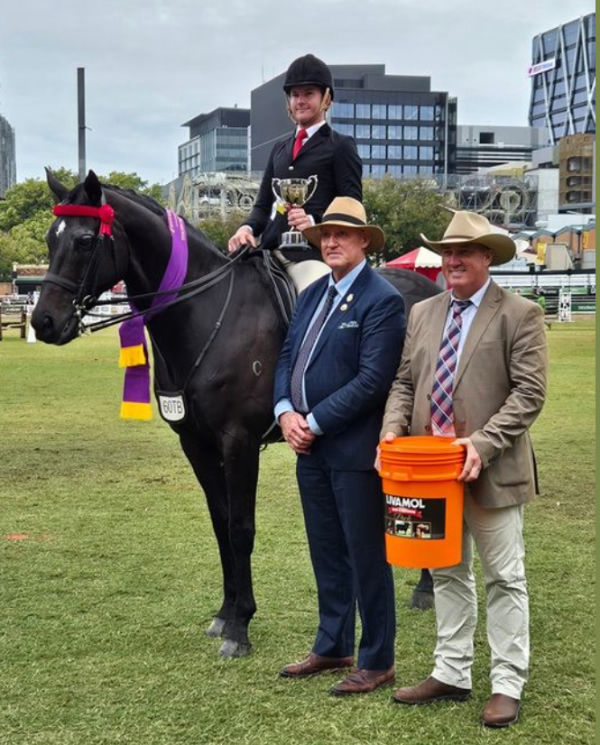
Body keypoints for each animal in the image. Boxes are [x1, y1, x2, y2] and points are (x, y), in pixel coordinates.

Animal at [34, 170, 436, 656]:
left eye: (87, 240)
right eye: (50, 239)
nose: (43, 322)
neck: (205, 315)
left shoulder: (239, 440)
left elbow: (241, 527)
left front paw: (240, 627)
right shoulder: (197, 444)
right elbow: (221, 525)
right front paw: (225, 615)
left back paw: (426, 588)